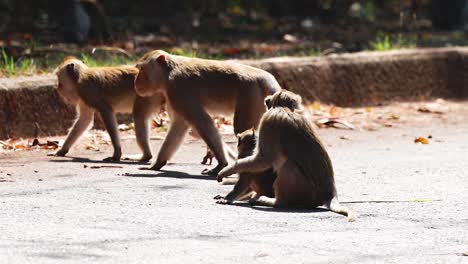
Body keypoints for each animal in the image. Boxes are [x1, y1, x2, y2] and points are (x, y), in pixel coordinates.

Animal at [135, 49, 282, 175]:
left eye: (142, 69)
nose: (136, 81)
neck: (168, 73)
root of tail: (266, 78)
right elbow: (179, 125)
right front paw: (157, 164)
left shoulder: (177, 91)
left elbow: (202, 122)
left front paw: (221, 164)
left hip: (250, 97)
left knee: (241, 128)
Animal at [218, 89, 356, 222]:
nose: (266, 100)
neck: (285, 108)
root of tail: (329, 194)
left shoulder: (268, 119)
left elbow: (264, 160)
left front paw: (227, 171)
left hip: (306, 193)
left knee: (288, 166)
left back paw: (275, 202)